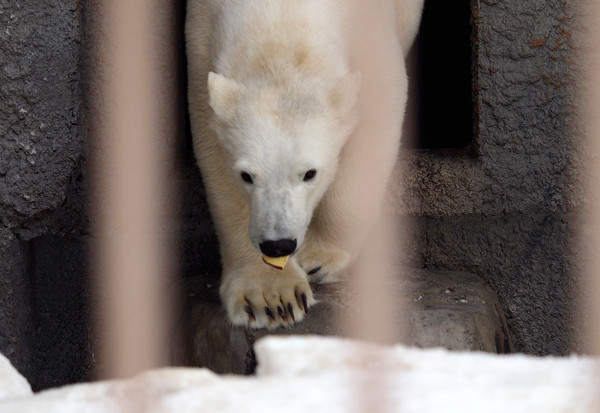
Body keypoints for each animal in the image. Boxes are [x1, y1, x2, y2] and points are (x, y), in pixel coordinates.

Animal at [186, 0, 422, 328]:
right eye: (247, 175)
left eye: (310, 173)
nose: (278, 245)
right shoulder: (201, 35)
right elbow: (214, 155)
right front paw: (271, 298)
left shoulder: (372, 28)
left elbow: (379, 107)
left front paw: (316, 259)